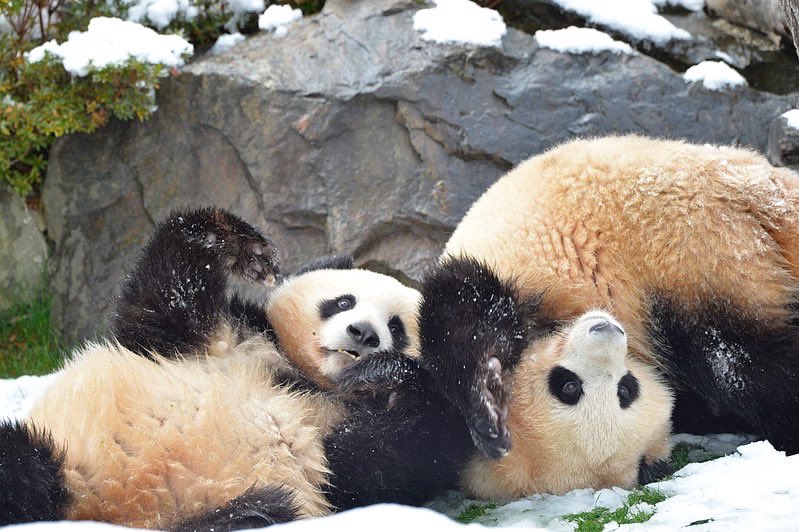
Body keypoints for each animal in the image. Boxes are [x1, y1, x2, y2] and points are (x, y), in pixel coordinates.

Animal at [0, 207, 473, 530]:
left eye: (396, 327)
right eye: (343, 301)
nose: (363, 334)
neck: (301, 375)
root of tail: (102, 511)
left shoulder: (344, 451)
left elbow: (382, 462)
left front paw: (386, 376)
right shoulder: (215, 337)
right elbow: (159, 302)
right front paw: (239, 245)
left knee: (271, 509)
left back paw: (248, 511)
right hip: (65, 449)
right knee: (21, 466)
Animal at [418, 134, 799, 500]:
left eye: (565, 383)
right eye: (624, 389)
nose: (606, 330)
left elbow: (462, 314)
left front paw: (487, 404)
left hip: (697, 245)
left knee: (734, 357)